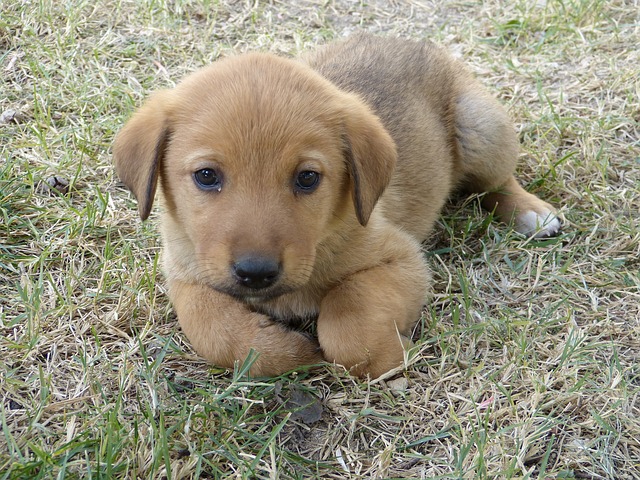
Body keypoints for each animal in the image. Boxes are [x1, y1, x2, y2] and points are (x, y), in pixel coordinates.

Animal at [114, 34, 560, 378]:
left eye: (307, 178)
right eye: (206, 176)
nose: (256, 273)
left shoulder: (401, 261)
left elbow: (349, 325)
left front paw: (391, 358)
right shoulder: (184, 273)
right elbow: (212, 330)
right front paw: (284, 352)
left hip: (481, 128)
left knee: (498, 181)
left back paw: (532, 213)